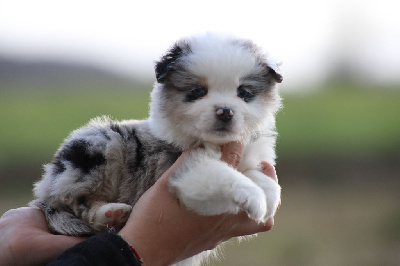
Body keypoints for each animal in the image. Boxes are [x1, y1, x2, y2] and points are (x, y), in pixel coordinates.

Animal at [30, 32, 282, 264]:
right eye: (198, 91)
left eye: (244, 93)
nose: (225, 112)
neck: (215, 142)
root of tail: (46, 186)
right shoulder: (186, 172)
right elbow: (225, 175)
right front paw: (254, 197)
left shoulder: (248, 157)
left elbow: (259, 176)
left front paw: (269, 195)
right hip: (99, 147)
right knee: (77, 204)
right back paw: (109, 213)